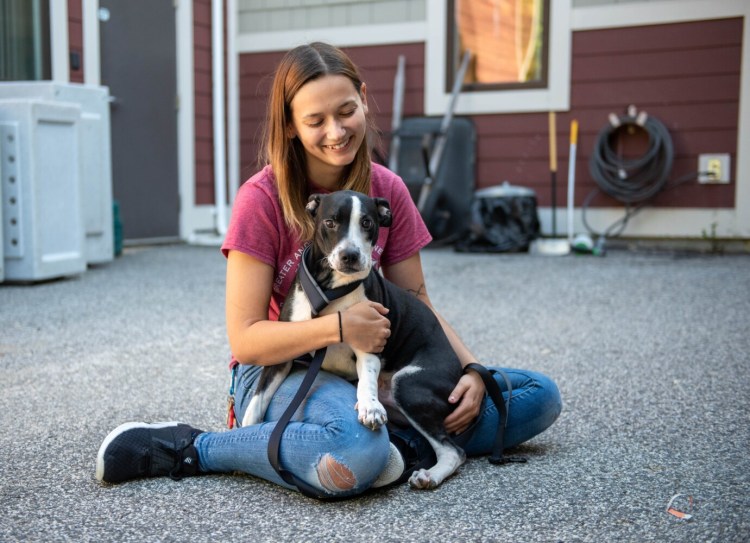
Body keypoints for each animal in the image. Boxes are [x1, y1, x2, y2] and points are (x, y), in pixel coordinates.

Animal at [244, 190, 468, 488]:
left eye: (367, 223)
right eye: (330, 222)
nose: (349, 255)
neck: (330, 289)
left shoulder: (369, 342)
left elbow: (367, 379)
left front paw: (370, 407)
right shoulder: (280, 351)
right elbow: (258, 398)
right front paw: (245, 432)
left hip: (409, 385)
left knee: (454, 450)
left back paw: (429, 475)